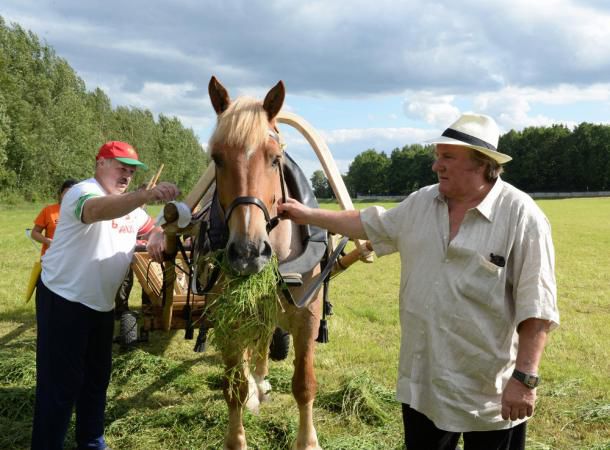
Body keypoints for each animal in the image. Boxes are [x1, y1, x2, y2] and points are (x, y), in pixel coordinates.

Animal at [203, 77, 324, 450]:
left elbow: (304, 384)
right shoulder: (227, 319)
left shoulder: (307, 318)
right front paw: (236, 438)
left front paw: (307, 441)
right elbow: (234, 388)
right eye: (217, 158)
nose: (248, 252)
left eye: (274, 159)